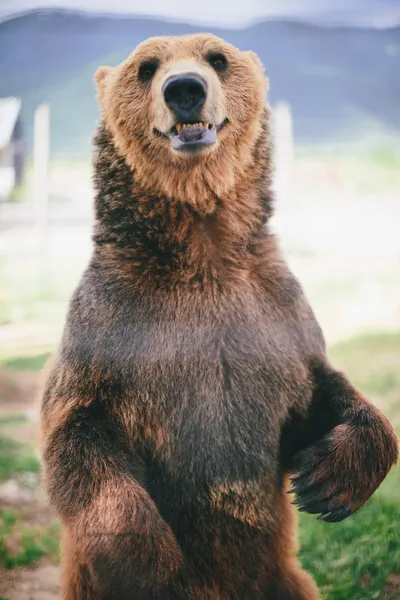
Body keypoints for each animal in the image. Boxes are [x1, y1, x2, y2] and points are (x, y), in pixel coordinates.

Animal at [42, 34, 398, 600]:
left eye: (217, 58)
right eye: (146, 67)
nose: (184, 88)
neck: (203, 249)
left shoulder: (274, 310)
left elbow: (324, 390)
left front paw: (326, 483)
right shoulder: (113, 321)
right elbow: (78, 428)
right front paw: (145, 560)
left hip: (281, 579)